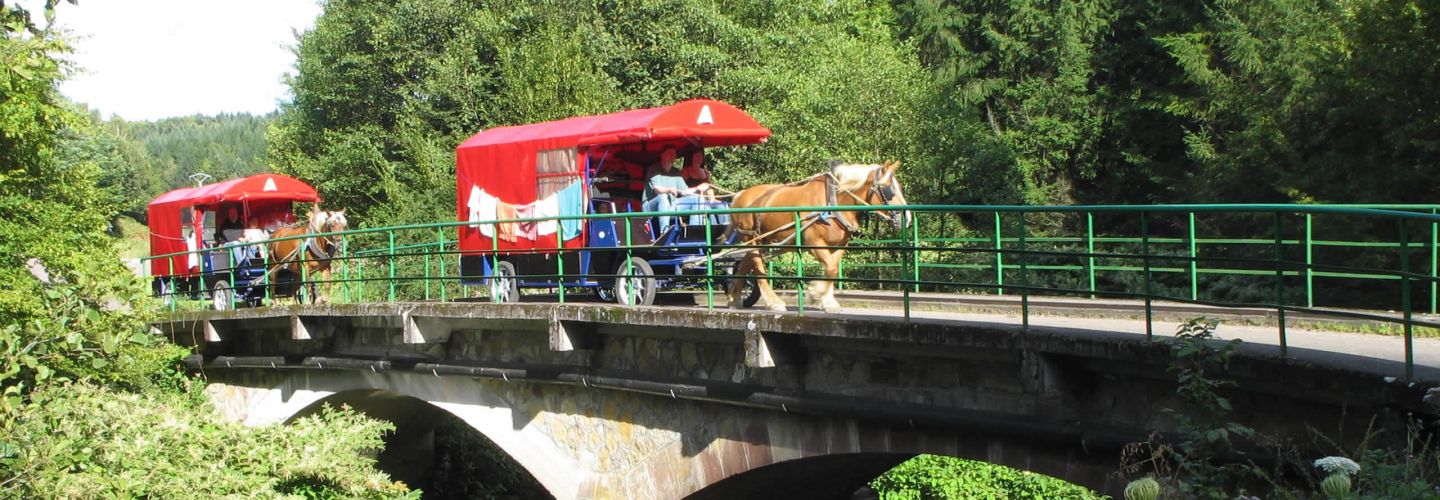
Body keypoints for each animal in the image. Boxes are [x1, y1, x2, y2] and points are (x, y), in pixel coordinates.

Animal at [720, 162, 910, 311]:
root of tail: (739, 196)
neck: (834, 201)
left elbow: (832, 269)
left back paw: (733, 298)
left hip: (758, 240)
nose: (906, 218)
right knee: (758, 268)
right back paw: (773, 302)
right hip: (752, 239)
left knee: (745, 263)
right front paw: (815, 294)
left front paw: (828, 301)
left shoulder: (839, 245)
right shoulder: (814, 242)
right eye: (889, 189)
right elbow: (831, 269)